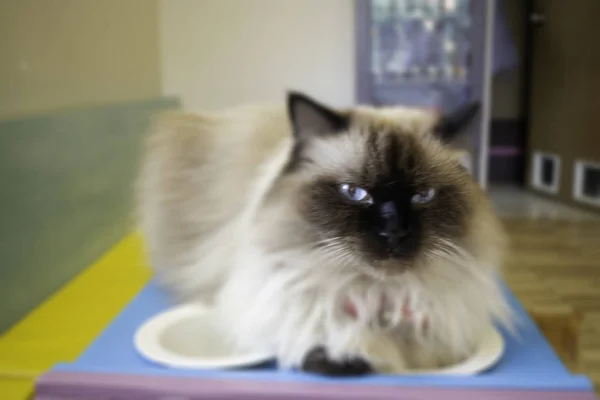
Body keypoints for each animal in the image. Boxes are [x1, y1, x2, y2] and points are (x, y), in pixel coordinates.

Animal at [137, 92, 510, 376]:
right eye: (354, 193)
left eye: (423, 196)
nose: (393, 232)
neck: (376, 296)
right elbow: (327, 346)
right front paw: (349, 355)